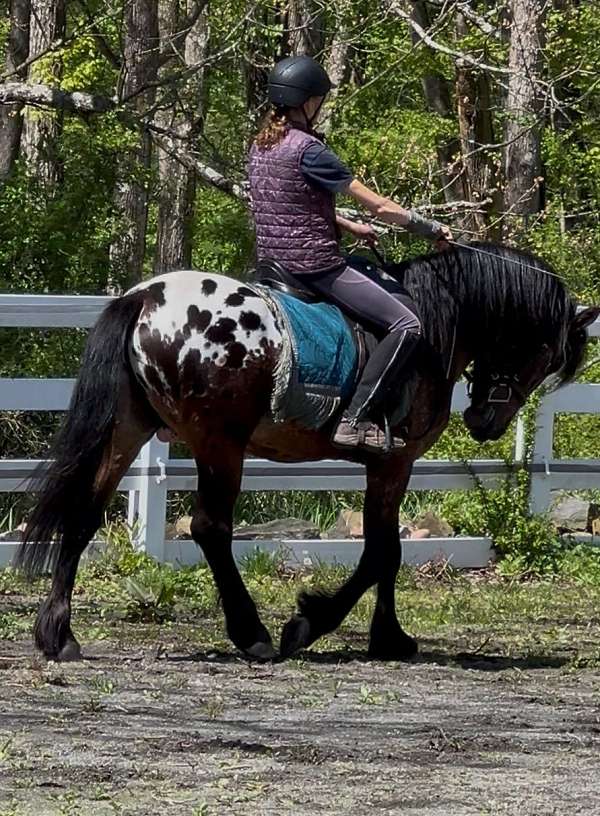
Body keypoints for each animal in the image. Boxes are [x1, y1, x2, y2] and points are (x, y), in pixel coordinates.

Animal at [15, 242, 599, 662]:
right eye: (544, 352)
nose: (486, 422)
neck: (435, 325)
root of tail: (144, 298)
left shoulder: (390, 466)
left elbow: (387, 550)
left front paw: (388, 637)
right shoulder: (394, 461)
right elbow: (381, 552)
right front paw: (312, 623)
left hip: (129, 429)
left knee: (84, 513)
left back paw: (59, 635)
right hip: (218, 443)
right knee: (210, 528)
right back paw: (251, 633)